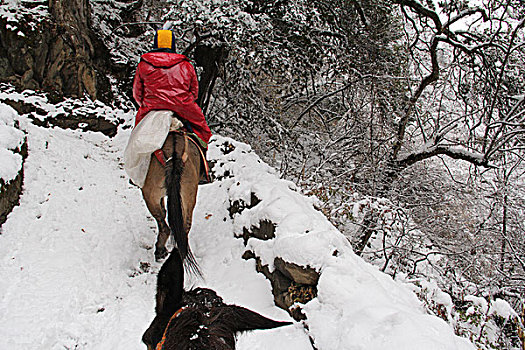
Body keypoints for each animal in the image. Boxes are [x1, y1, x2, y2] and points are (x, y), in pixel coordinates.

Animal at [141, 129, 203, 274]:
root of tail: (174, 156)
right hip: (188, 195)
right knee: (185, 226)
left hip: (150, 194)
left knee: (163, 224)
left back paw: (160, 251)